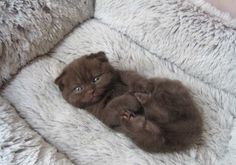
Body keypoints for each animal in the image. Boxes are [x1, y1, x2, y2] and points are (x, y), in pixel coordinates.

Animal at [54, 52, 202, 153]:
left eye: (96, 79)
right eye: (78, 89)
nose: (91, 90)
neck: (108, 92)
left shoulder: (121, 74)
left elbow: (132, 76)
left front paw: (143, 86)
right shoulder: (102, 114)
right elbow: (113, 104)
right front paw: (130, 100)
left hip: (168, 90)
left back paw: (142, 96)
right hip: (148, 138)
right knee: (153, 124)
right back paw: (134, 109)